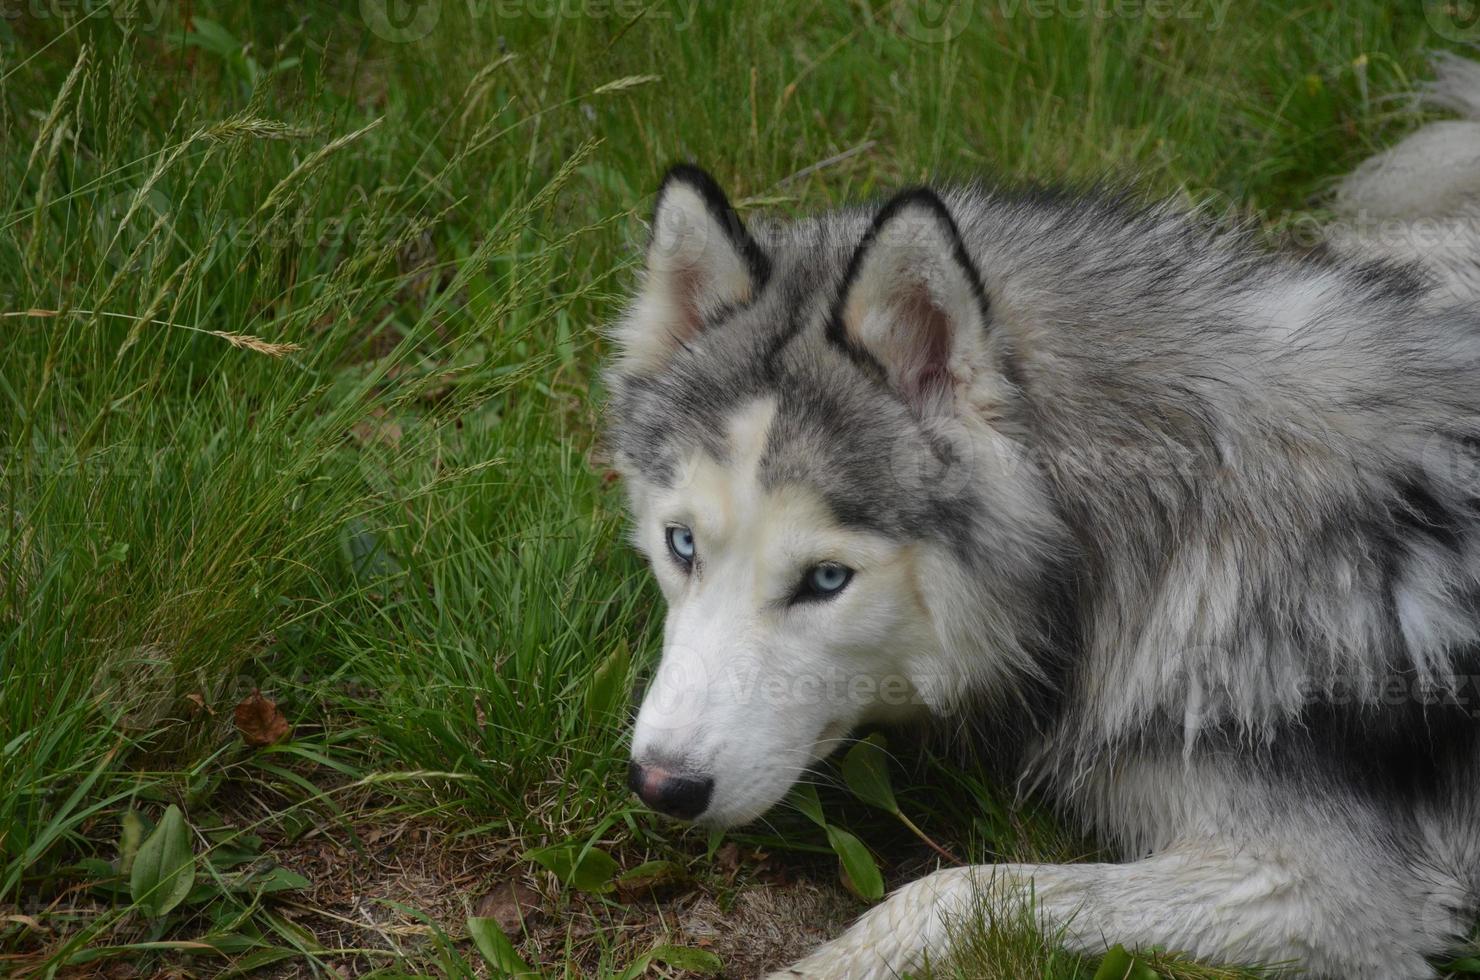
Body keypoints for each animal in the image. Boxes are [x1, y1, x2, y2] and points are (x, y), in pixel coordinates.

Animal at [600, 55, 1480, 980]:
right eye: (681, 544)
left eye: (827, 579)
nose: (660, 786)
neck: (1173, 520)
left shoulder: (1336, 898)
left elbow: (954, 891)